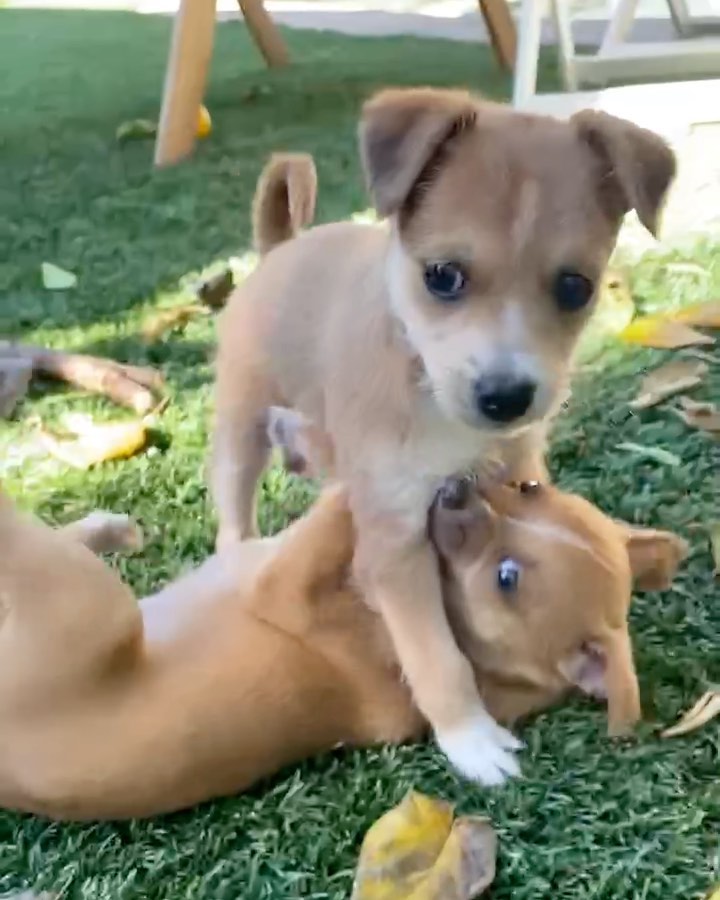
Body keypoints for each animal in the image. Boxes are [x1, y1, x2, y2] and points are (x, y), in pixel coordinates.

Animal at [0, 472, 688, 824]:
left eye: (508, 577)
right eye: (529, 489)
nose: (455, 488)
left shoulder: (280, 585)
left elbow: (336, 513)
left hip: (85, 603)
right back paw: (107, 527)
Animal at [210, 88, 676, 784]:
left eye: (576, 287)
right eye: (443, 276)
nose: (506, 397)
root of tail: (280, 249)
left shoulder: (515, 471)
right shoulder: (396, 542)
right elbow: (436, 654)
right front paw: (470, 739)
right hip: (241, 424)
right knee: (234, 509)